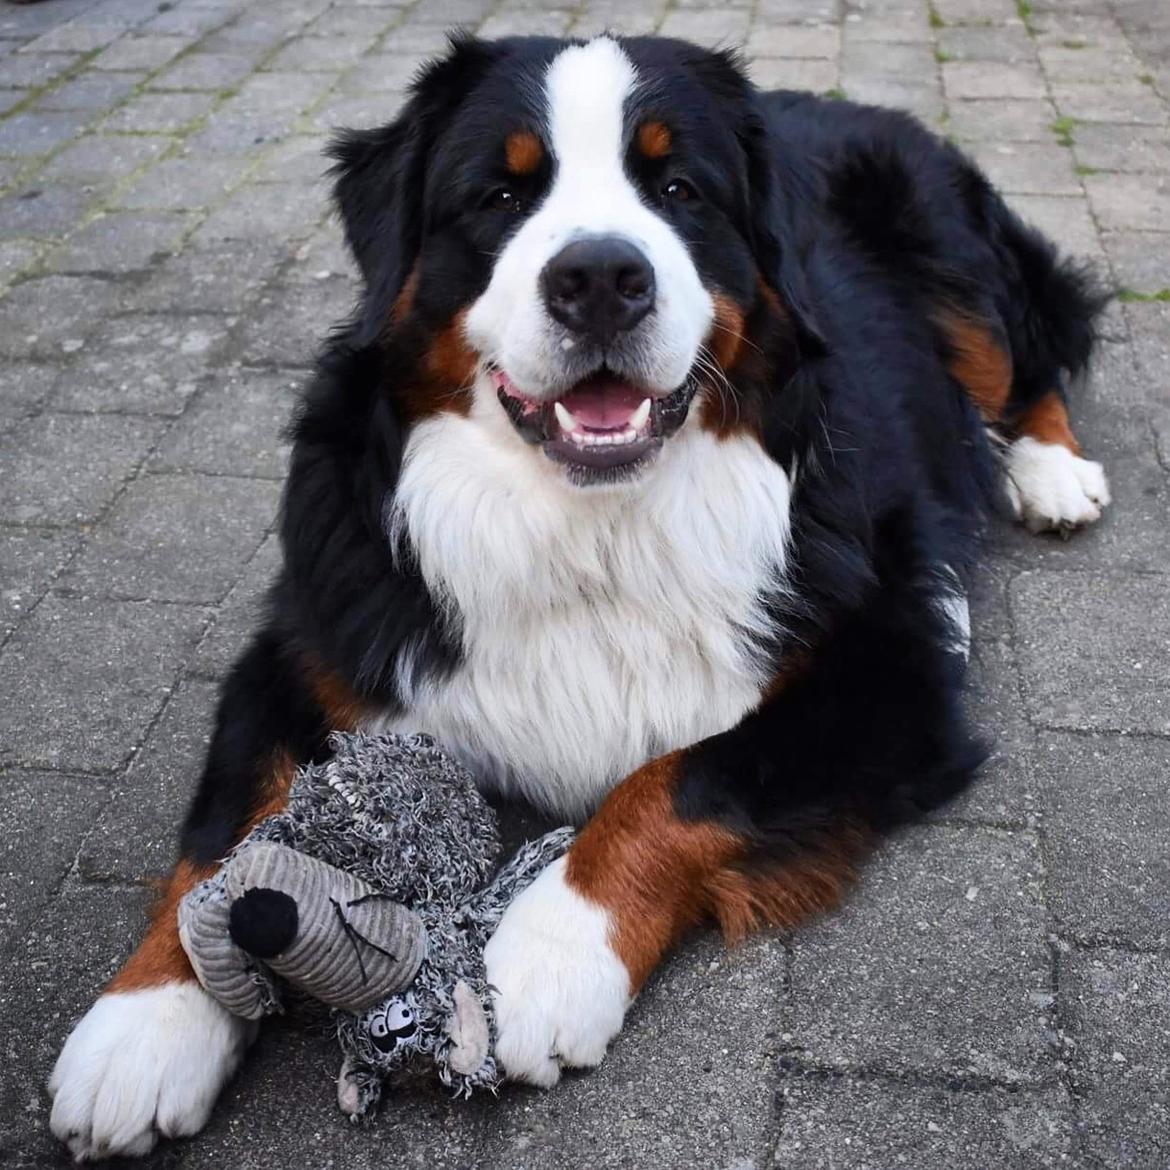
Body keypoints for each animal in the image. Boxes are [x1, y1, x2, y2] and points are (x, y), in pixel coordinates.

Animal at [45, 32, 1109, 1155]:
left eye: (679, 188)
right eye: (502, 194)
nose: (601, 277)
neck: (582, 524)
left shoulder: (886, 667)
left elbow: (676, 781)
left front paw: (540, 959)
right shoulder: (311, 644)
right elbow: (226, 842)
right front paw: (142, 1026)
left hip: (956, 267)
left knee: (1025, 364)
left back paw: (1050, 473)